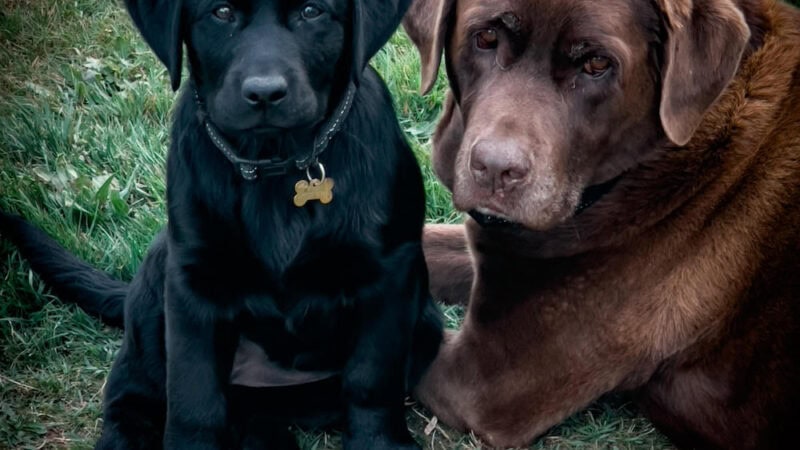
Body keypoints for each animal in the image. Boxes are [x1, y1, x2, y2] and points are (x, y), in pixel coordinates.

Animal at [0, 0, 444, 450]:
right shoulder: (193, 283)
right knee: (130, 397)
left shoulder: (390, 275)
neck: (276, 166)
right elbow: (194, 395)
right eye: (222, 12)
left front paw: (379, 442)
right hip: (156, 280)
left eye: (311, 11)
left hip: (426, 325)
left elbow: (371, 379)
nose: (264, 93)